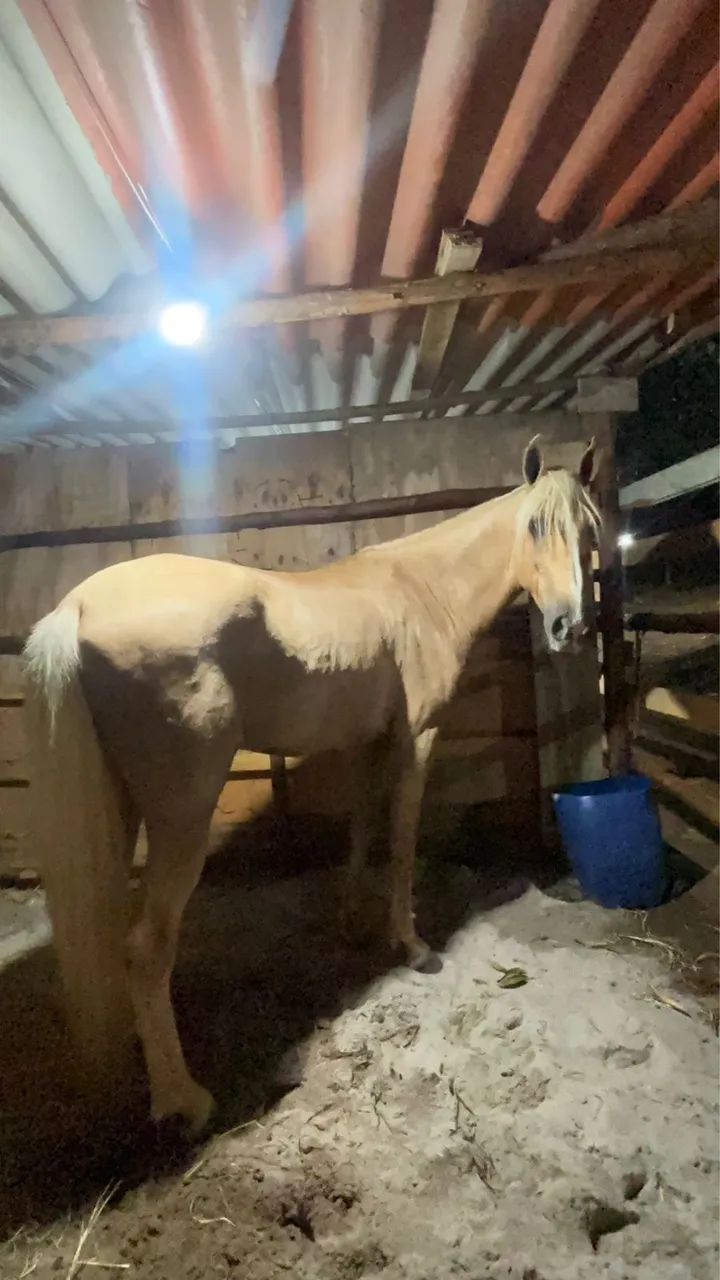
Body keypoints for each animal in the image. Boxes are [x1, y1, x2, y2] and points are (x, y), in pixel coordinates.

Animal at [23, 436, 598, 1134]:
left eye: (591, 531)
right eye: (537, 527)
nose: (572, 627)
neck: (422, 592)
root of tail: (75, 608)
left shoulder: (364, 744)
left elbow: (362, 826)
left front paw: (353, 922)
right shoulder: (418, 738)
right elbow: (401, 840)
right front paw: (412, 946)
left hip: (119, 808)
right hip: (181, 819)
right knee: (147, 947)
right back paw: (185, 1100)